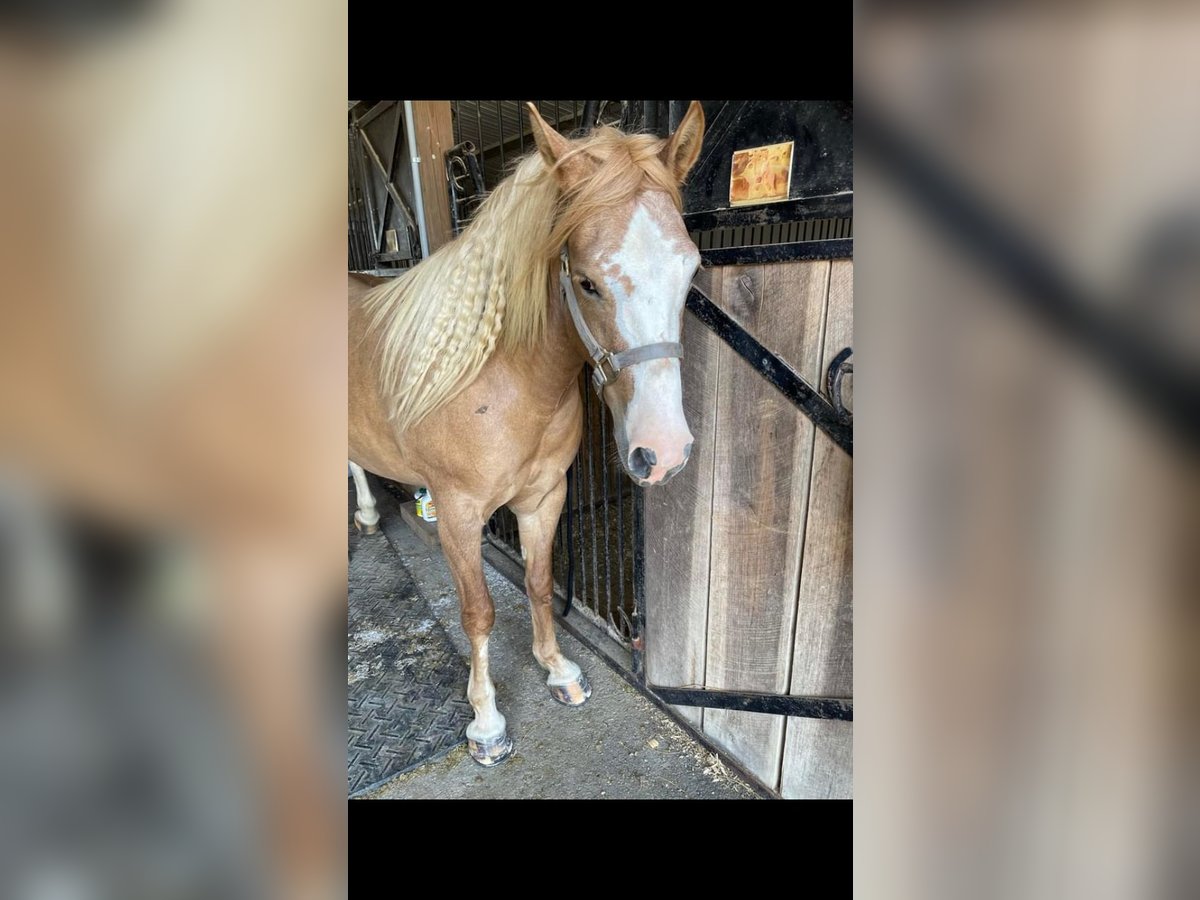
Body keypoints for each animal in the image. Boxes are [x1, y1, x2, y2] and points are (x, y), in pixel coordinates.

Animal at [348, 103, 700, 768]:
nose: (662, 452)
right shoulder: (460, 514)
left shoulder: (544, 496)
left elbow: (539, 584)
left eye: (691, 269)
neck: (504, 378)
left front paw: (558, 669)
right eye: (586, 281)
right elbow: (478, 613)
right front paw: (486, 722)